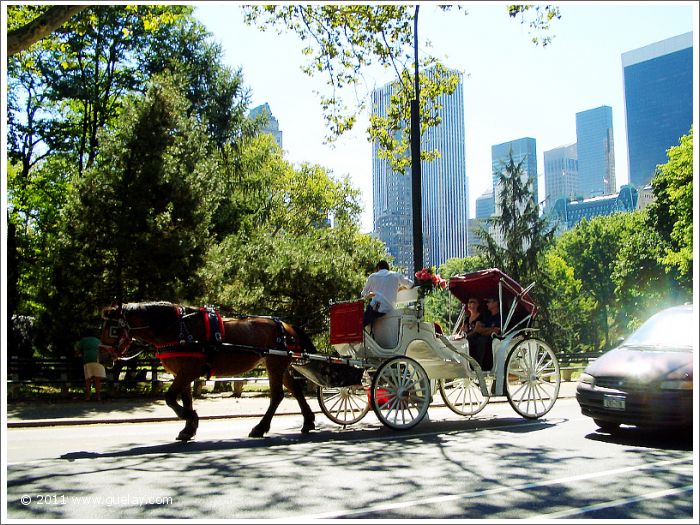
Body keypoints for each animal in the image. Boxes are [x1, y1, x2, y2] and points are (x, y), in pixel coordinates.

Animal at [99, 300, 318, 440]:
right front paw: (188, 428)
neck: (177, 328)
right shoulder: (183, 372)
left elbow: (170, 398)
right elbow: (185, 399)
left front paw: (190, 417)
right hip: (278, 365)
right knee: (295, 390)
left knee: (277, 395)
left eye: (113, 329)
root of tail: (287, 326)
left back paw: (260, 427)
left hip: (274, 364)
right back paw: (307, 421)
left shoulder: (188, 372)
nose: (103, 357)